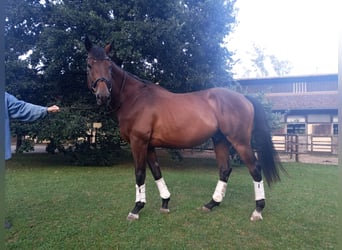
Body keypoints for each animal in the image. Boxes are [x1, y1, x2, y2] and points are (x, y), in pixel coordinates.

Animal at [84, 36, 282, 221]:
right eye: (89, 65)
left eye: (109, 66)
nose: (103, 95)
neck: (135, 99)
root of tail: (244, 97)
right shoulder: (149, 145)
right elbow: (156, 171)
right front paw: (165, 203)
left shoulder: (138, 142)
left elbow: (140, 174)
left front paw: (136, 209)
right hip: (220, 140)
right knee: (225, 169)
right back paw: (211, 204)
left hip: (240, 142)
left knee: (255, 169)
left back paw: (257, 210)